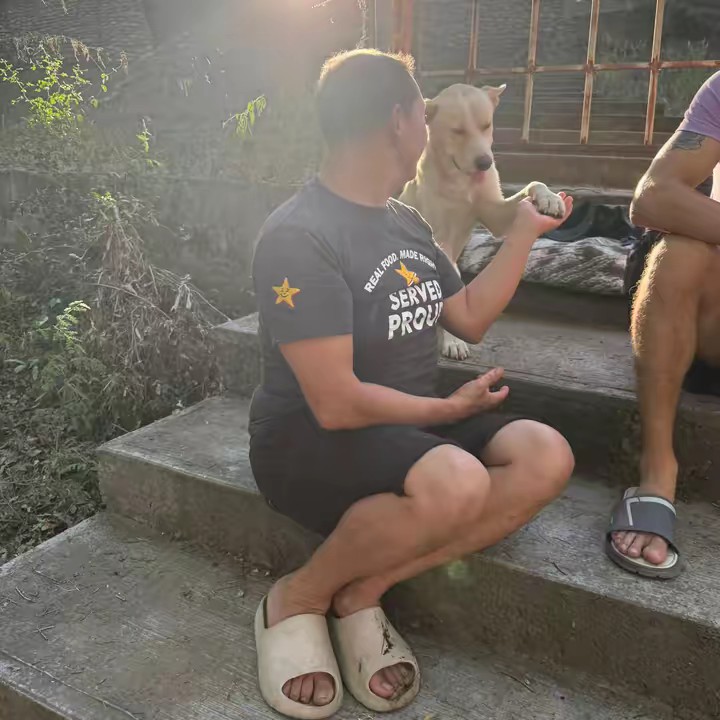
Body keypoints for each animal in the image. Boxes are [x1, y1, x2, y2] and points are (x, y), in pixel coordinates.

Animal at [400, 83, 566, 360]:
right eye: (457, 131)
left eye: (486, 125)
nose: (485, 163)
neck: (461, 181)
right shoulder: (439, 239)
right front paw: (453, 340)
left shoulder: (495, 215)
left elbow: (533, 185)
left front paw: (548, 198)